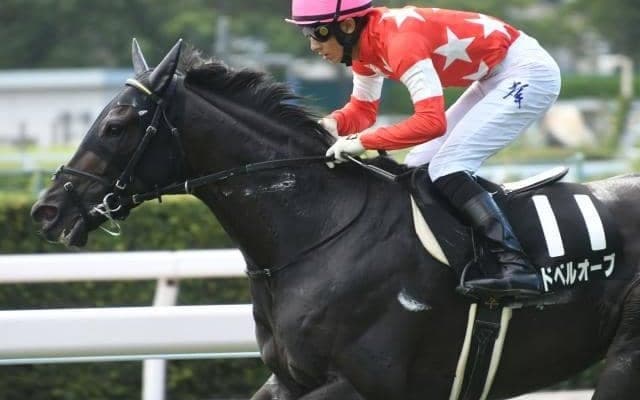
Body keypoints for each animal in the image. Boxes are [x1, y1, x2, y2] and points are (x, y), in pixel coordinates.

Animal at [31, 40, 640, 400]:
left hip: (624, 359)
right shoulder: (288, 379)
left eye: (115, 126)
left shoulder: (364, 384)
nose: (47, 210)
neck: (321, 233)